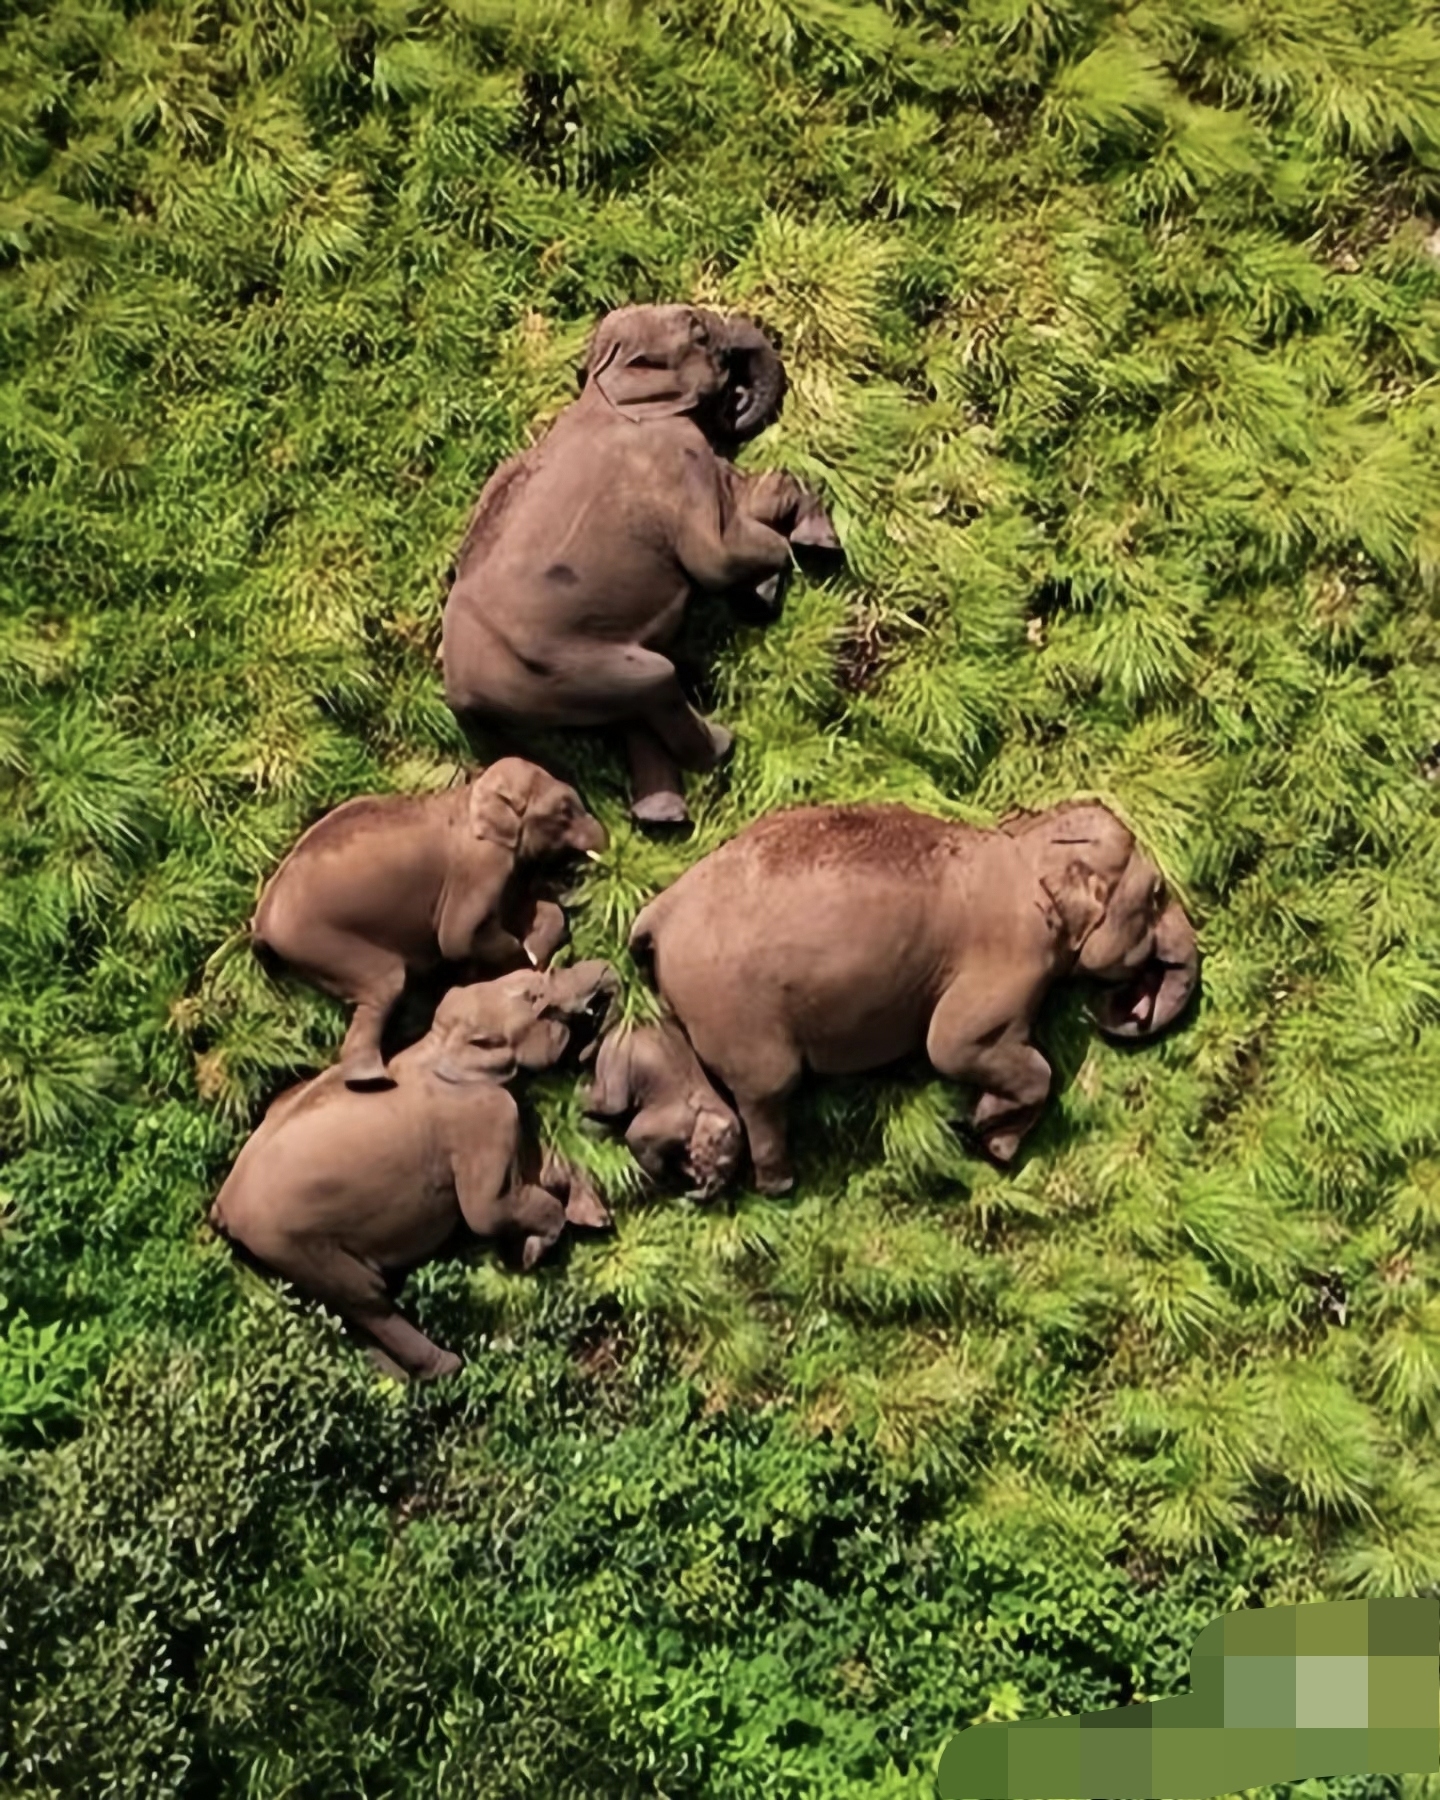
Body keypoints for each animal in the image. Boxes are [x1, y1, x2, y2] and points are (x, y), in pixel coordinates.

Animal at [208, 961, 618, 1381]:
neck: (437, 1043)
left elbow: (536, 1169)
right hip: (288, 1239)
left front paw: (592, 1216)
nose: (606, 968)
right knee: (366, 1296)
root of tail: (223, 1205)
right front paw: (532, 1255)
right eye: (534, 997)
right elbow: (487, 1211)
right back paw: (446, 1367)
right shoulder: (482, 1117)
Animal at [250, 758, 607, 1090]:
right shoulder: (480, 865)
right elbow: (458, 939)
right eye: (564, 810)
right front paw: (516, 966)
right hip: (316, 939)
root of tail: (262, 916)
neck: (473, 794)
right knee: (387, 982)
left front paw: (536, 951)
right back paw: (371, 1079)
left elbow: (524, 912)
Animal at [441, 302, 843, 827]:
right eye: (698, 330)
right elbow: (715, 558)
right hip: (559, 671)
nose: (736, 397)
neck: (606, 389)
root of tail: (460, 697)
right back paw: (720, 747)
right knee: (657, 680)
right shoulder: (675, 459)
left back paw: (661, 817)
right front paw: (789, 569)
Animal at [580, 1017, 743, 1200]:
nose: (692, 1191)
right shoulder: (675, 1121)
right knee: (614, 1104)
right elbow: (635, 1136)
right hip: (619, 1055)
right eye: (721, 1162)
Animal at [628, 800, 1201, 1193]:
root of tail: (660, 910)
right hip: (733, 1010)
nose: (1127, 1007)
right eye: (1156, 895)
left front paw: (991, 1129)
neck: (1026, 845)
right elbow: (951, 1046)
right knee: (769, 1087)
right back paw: (780, 1184)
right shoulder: (1015, 955)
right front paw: (993, 1136)